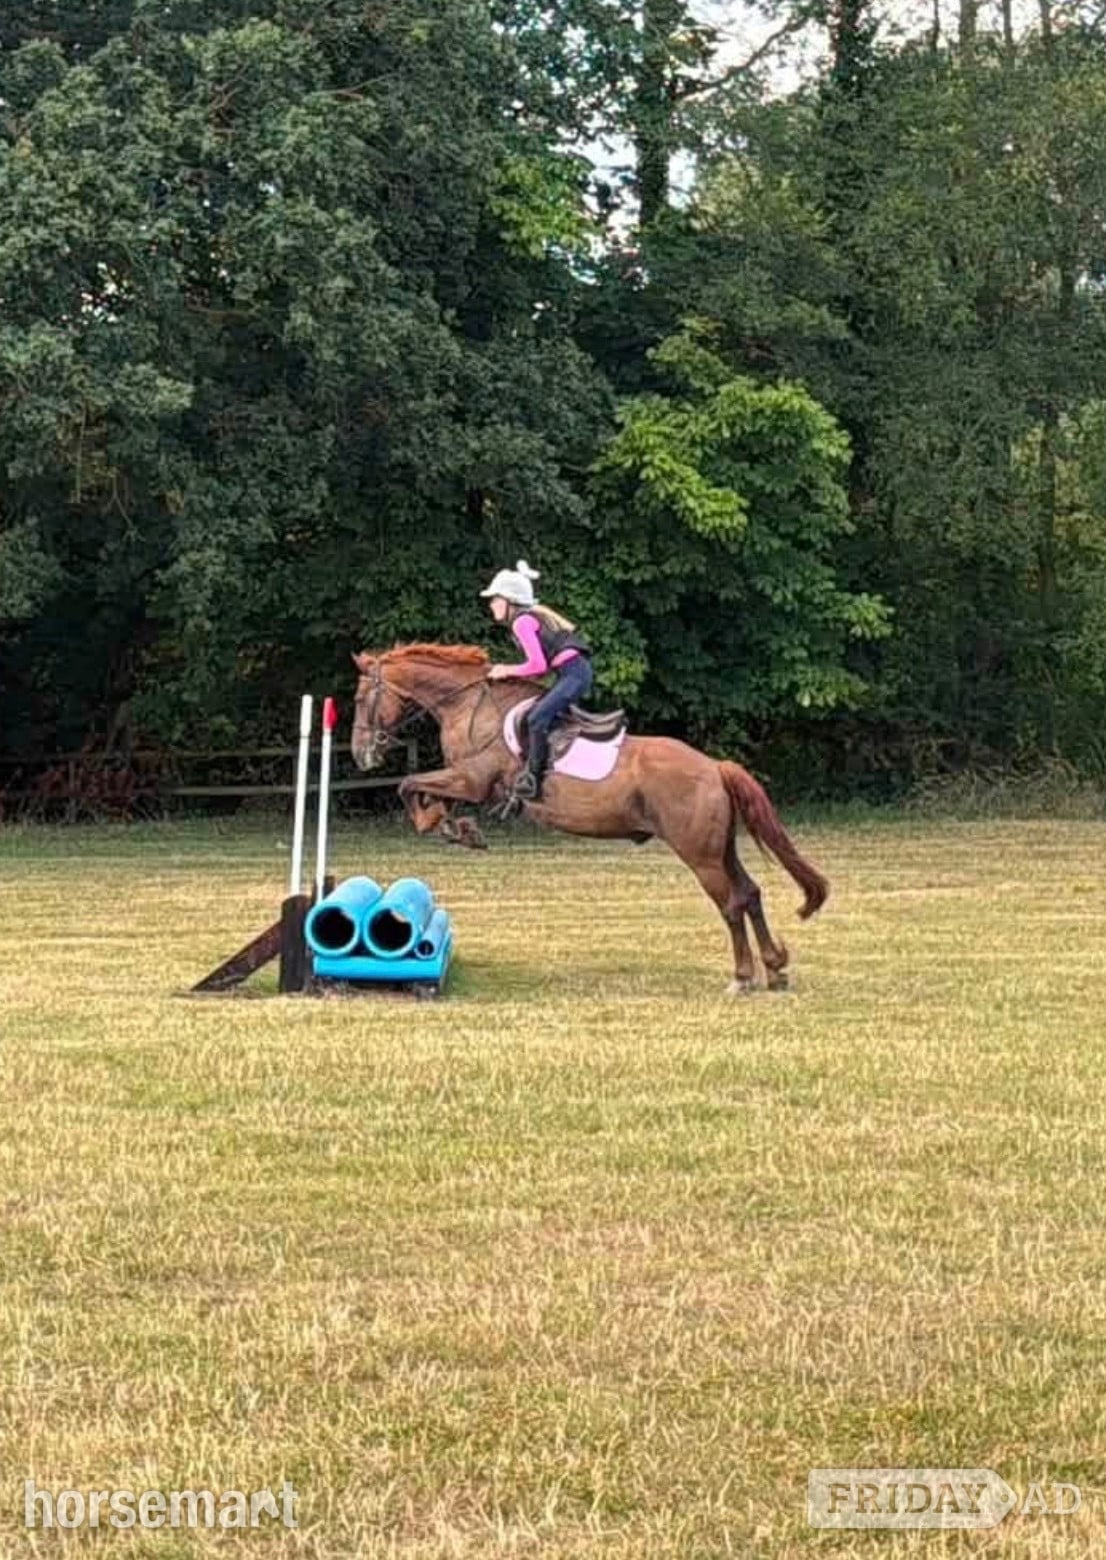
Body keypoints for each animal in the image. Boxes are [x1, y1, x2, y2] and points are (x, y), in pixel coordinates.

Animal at [350, 643, 828, 993]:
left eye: (359, 698)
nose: (360, 754)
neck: (468, 705)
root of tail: (714, 767)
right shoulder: (464, 781)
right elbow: (418, 788)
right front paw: (456, 828)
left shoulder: (472, 781)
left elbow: (409, 783)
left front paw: (448, 827)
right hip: (720, 847)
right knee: (749, 893)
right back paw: (775, 969)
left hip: (700, 854)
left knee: (730, 903)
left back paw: (742, 978)